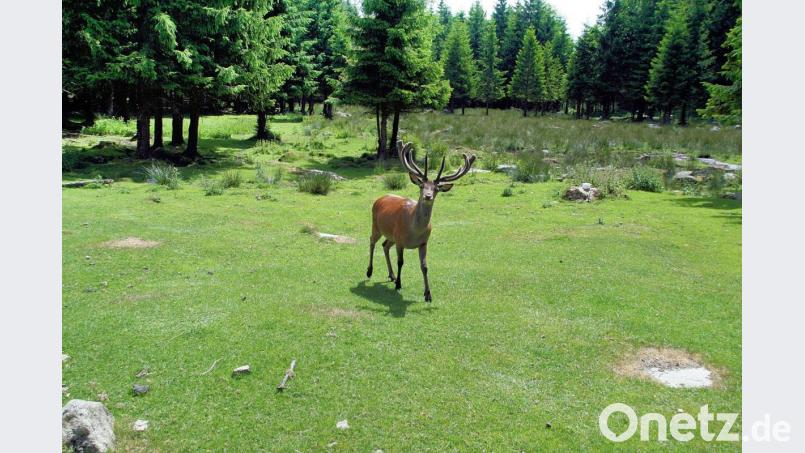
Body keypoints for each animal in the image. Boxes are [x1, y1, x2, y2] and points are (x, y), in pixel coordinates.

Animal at [366, 140, 476, 302]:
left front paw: (428, 294)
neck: (414, 231)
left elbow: (424, 266)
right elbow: (401, 262)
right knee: (372, 241)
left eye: (436, 189)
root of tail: (380, 198)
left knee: (385, 245)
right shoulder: (400, 241)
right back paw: (369, 271)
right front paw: (399, 285)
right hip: (376, 226)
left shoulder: (424, 242)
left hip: (391, 236)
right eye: (421, 186)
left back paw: (391, 275)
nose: (428, 196)